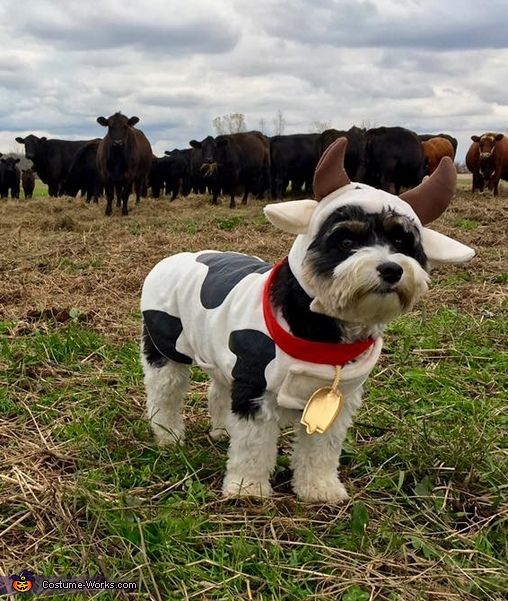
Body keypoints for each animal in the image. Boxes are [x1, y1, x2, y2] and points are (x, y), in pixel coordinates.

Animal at [140, 137, 476, 502]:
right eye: (345, 240)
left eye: (402, 241)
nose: (391, 269)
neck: (320, 328)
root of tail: (175, 258)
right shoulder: (255, 389)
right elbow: (254, 447)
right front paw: (248, 488)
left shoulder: (334, 399)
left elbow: (320, 449)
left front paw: (318, 487)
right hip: (165, 348)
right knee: (164, 393)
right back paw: (167, 434)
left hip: (222, 356)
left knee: (219, 390)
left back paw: (221, 430)